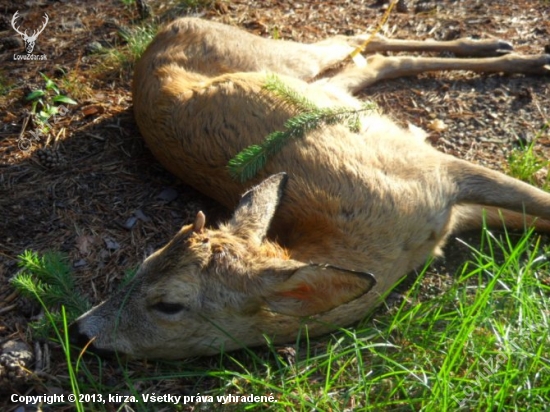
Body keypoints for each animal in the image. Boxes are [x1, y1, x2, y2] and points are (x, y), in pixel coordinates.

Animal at [71, 16, 550, 358]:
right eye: (144, 262)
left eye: (169, 304)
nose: (79, 330)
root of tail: (164, 30)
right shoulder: (448, 208)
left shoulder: (441, 174)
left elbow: (539, 202)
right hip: (303, 78)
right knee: (368, 59)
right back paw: (507, 51)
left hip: (278, 57)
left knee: (353, 41)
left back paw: (513, 52)